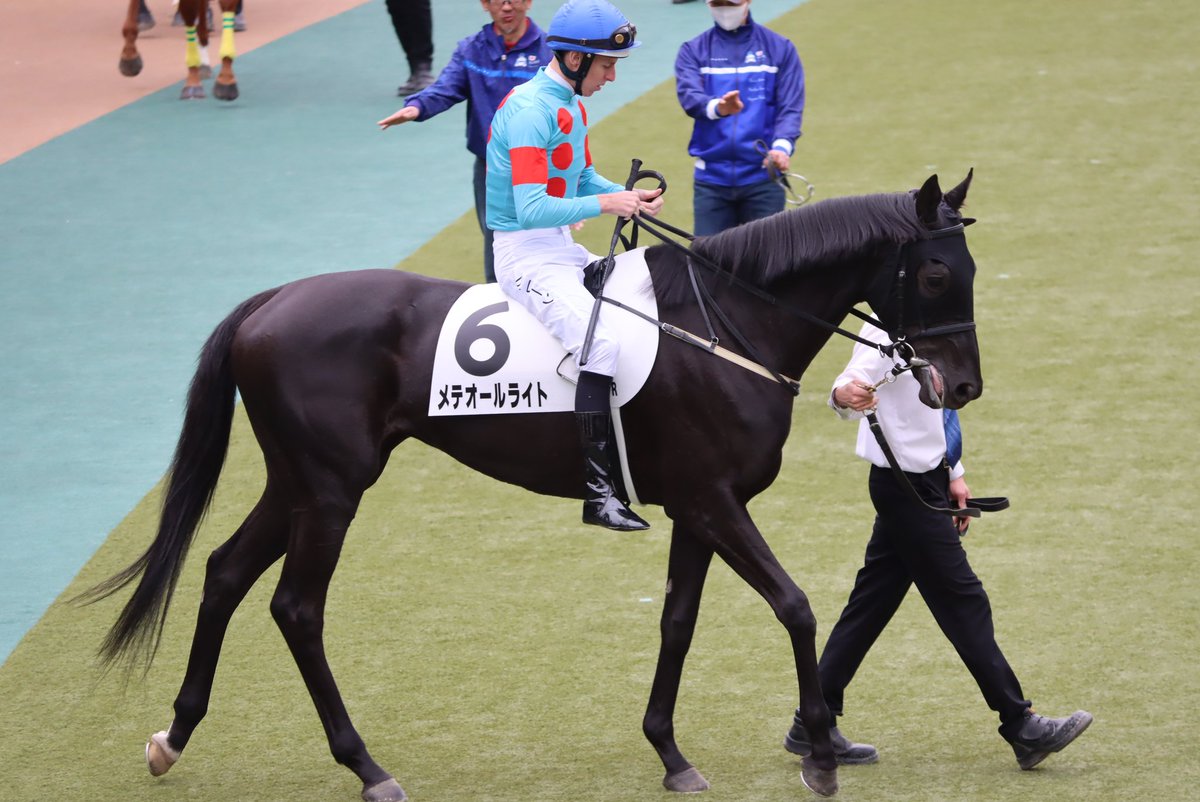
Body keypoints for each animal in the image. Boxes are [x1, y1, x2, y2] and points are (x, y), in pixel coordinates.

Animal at [82, 172, 983, 801]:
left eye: (971, 268)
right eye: (937, 274)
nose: (963, 387)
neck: (721, 325)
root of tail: (270, 302)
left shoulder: (696, 508)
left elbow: (679, 622)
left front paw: (669, 752)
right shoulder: (713, 501)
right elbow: (795, 607)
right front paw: (822, 757)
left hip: (298, 483)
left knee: (225, 572)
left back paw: (174, 735)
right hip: (333, 491)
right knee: (296, 608)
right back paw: (366, 765)